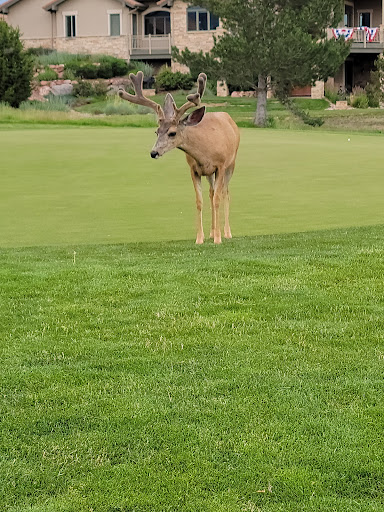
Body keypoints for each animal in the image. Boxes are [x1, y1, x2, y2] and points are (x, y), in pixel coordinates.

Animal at [120, 71, 240, 245]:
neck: (205, 152)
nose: (153, 153)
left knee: (225, 193)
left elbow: (218, 199)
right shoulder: (194, 169)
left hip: (231, 164)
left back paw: (226, 232)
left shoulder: (220, 166)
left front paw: (218, 239)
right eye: (156, 131)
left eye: (172, 133)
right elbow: (199, 201)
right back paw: (211, 232)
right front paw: (200, 238)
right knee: (211, 193)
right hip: (210, 173)